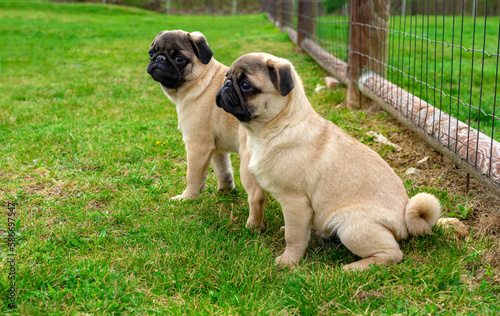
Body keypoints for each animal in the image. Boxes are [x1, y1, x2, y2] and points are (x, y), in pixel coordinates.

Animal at [146, 30, 266, 231]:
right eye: (151, 53)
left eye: (179, 59)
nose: (159, 59)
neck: (200, 80)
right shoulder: (216, 149)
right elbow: (223, 171)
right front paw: (225, 191)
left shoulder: (198, 146)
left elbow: (193, 176)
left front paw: (187, 198)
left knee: (257, 195)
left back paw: (253, 227)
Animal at [216, 53, 442, 270]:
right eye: (227, 76)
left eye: (246, 85)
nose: (225, 85)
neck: (277, 126)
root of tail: (404, 223)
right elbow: (297, 230)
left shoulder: (295, 202)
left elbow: (294, 237)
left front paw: (289, 261)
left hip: (352, 228)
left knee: (392, 254)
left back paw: (354, 268)